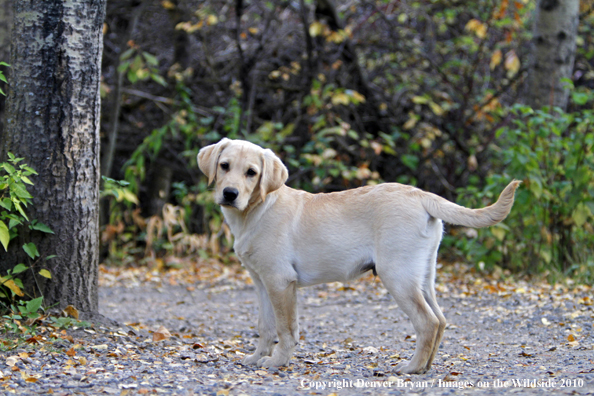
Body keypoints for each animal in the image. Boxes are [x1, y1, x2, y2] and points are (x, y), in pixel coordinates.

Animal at [197, 138, 516, 372]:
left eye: (251, 173)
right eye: (224, 166)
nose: (229, 193)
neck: (257, 210)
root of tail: (422, 195)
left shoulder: (280, 281)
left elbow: (286, 329)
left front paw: (277, 362)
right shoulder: (261, 282)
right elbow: (265, 326)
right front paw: (255, 358)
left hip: (397, 275)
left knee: (428, 322)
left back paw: (410, 368)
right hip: (423, 275)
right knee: (440, 319)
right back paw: (426, 366)